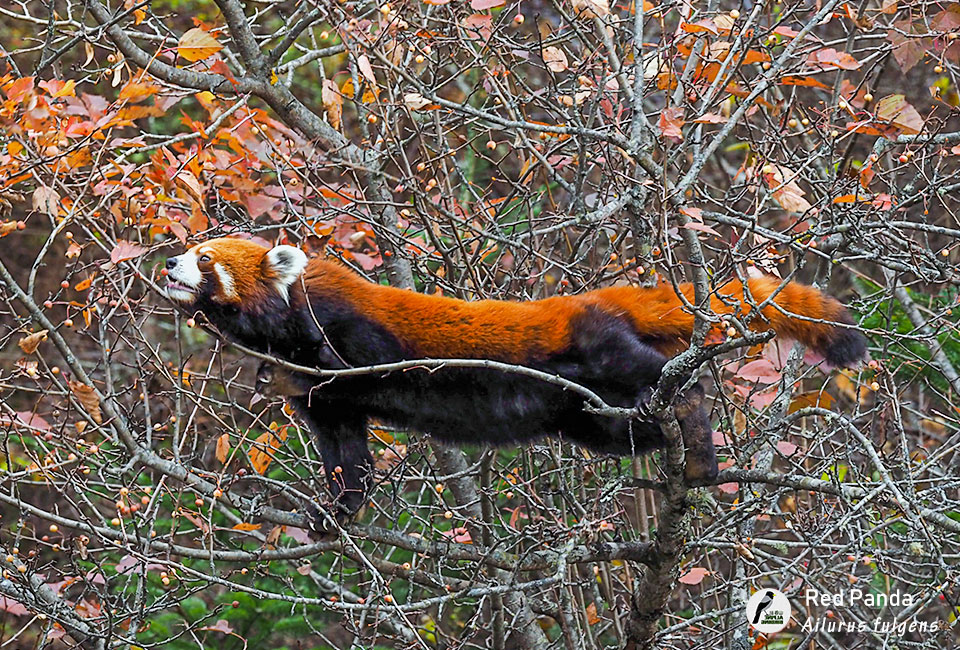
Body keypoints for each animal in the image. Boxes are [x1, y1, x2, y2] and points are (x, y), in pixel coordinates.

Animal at [167, 238, 872, 528]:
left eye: (207, 257)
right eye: (191, 248)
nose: (170, 262)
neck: (284, 332)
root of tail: (593, 299)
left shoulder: (353, 334)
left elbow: (361, 362)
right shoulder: (324, 399)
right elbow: (347, 455)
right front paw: (334, 512)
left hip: (592, 347)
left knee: (657, 378)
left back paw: (692, 431)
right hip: (587, 415)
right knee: (618, 431)